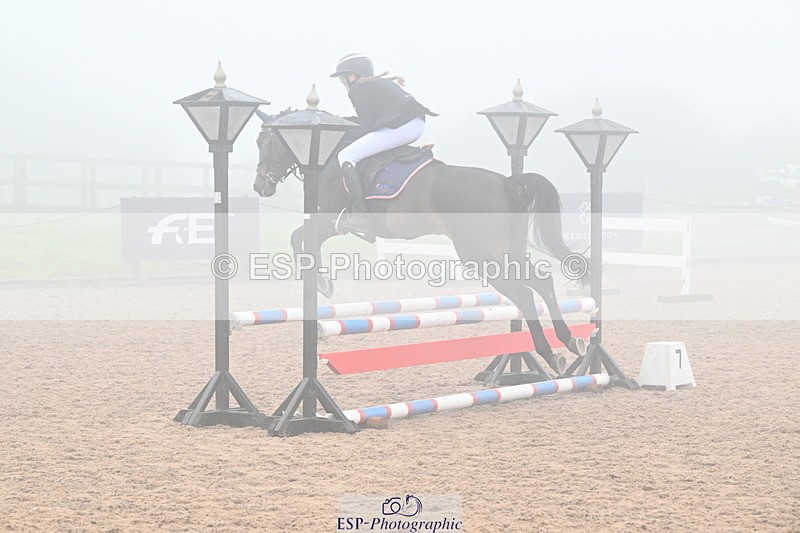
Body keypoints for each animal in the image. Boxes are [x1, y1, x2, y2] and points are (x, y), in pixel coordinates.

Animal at [253, 112, 587, 373]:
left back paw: (550, 352)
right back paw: (569, 341)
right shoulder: (333, 222)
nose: (259, 186)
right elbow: (302, 237)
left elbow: (299, 237)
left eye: (263, 143)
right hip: (507, 251)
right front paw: (322, 281)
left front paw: (321, 282)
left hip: (482, 256)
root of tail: (506, 182)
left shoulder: (333, 218)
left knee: (525, 294)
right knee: (542, 282)